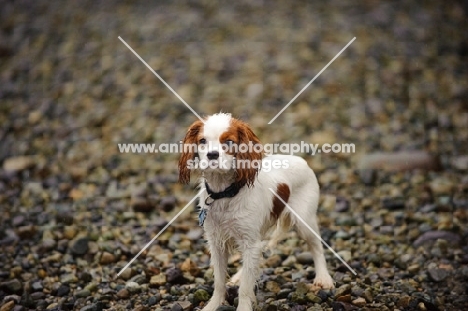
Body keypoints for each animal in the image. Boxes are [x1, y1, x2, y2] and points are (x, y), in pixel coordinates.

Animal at [178, 114, 332, 311]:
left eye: (229, 142)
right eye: (202, 141)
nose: (212, 154)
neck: (225, 193)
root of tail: (301, 160)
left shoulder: (250, 242)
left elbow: (245, 287)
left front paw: (243, 306)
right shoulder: (217, 242)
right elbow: (219, 280)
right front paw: (212, 305)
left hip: (304, 222)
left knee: (317, 247)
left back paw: (323, 278)